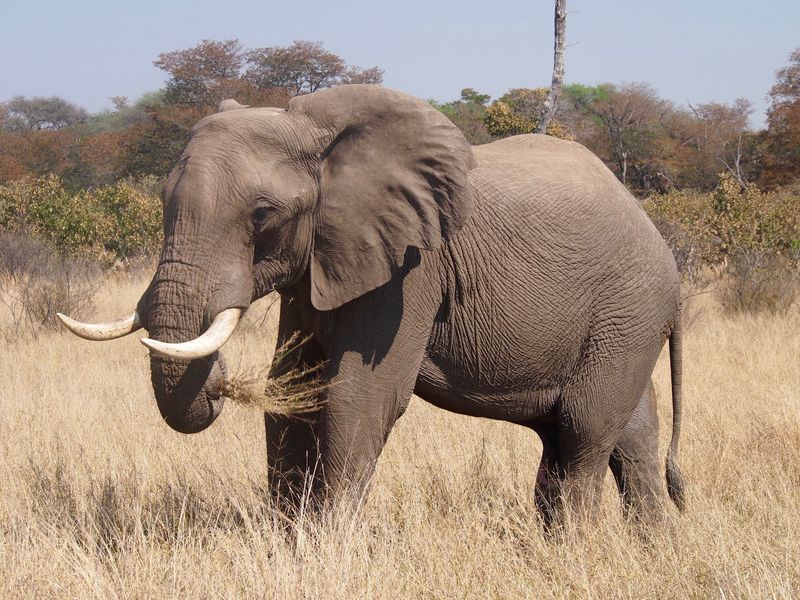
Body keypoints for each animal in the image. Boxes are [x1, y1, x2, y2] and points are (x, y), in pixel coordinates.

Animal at [61, 83, 688, 524]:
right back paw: (652, 549)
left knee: (583, 434)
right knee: (625, 438)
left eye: (262, 215)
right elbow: (294, 389)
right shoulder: (320, 263)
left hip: (628, 307)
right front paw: (289, 539)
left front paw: (328, 547)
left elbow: (358, 396)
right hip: (624, 321)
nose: (219, 383)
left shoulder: (410, 268)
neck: (318, 134)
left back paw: (574, 549)